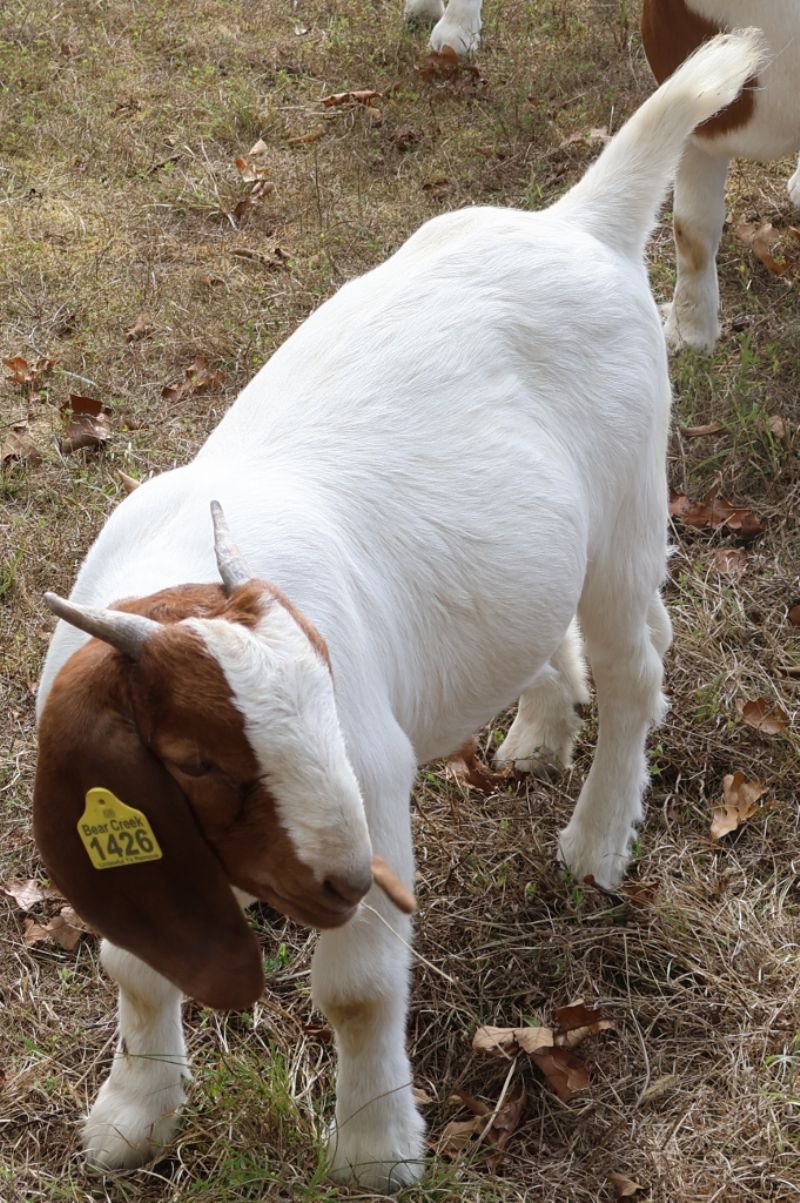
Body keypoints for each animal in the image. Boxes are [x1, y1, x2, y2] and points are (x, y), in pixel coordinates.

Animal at [33, 30, 764, 1191]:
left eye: (321, 704)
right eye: (195, 759)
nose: (340, 877)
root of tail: (579, 224)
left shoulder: (367, 777)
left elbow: (358, 990)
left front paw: (376, 1148)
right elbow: (133, 964)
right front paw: (131, 1116)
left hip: (626, 506)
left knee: (635, 668)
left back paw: (598, 837)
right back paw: (539, 729)